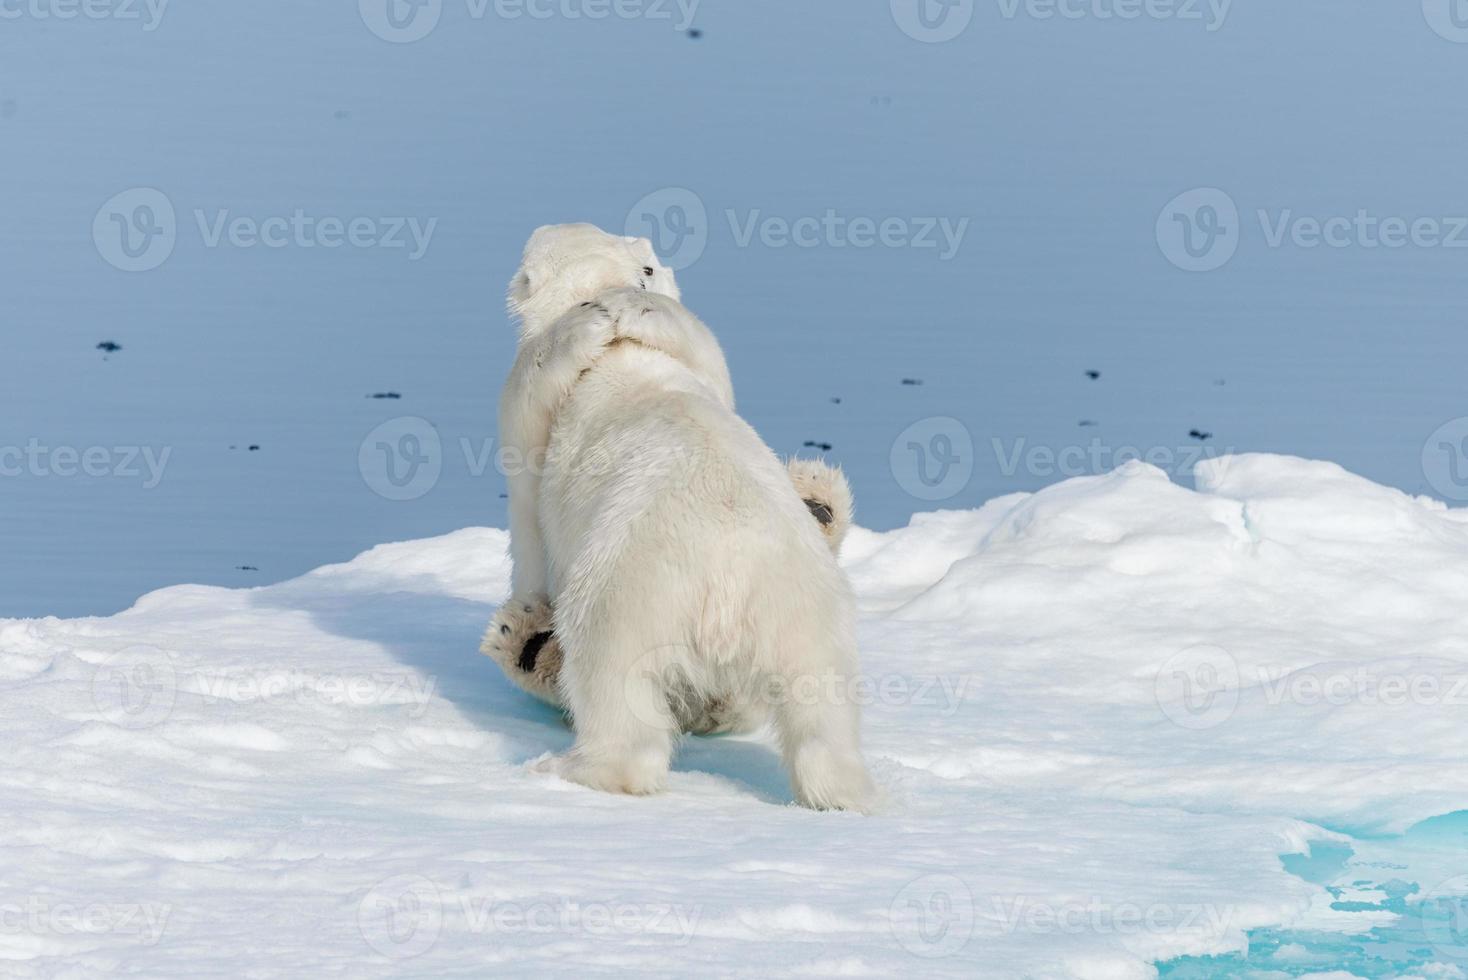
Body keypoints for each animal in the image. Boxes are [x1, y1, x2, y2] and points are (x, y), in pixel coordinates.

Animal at [487, 225, 874, 815]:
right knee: (821, 705)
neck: (621, 355)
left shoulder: (526, 420)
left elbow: (528, 520)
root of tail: (729, 584)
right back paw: (844, 789)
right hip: (805, 608)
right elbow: (707, 352)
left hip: (632, 593)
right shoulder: (697, 369)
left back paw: (565, 747)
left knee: (614, 680)